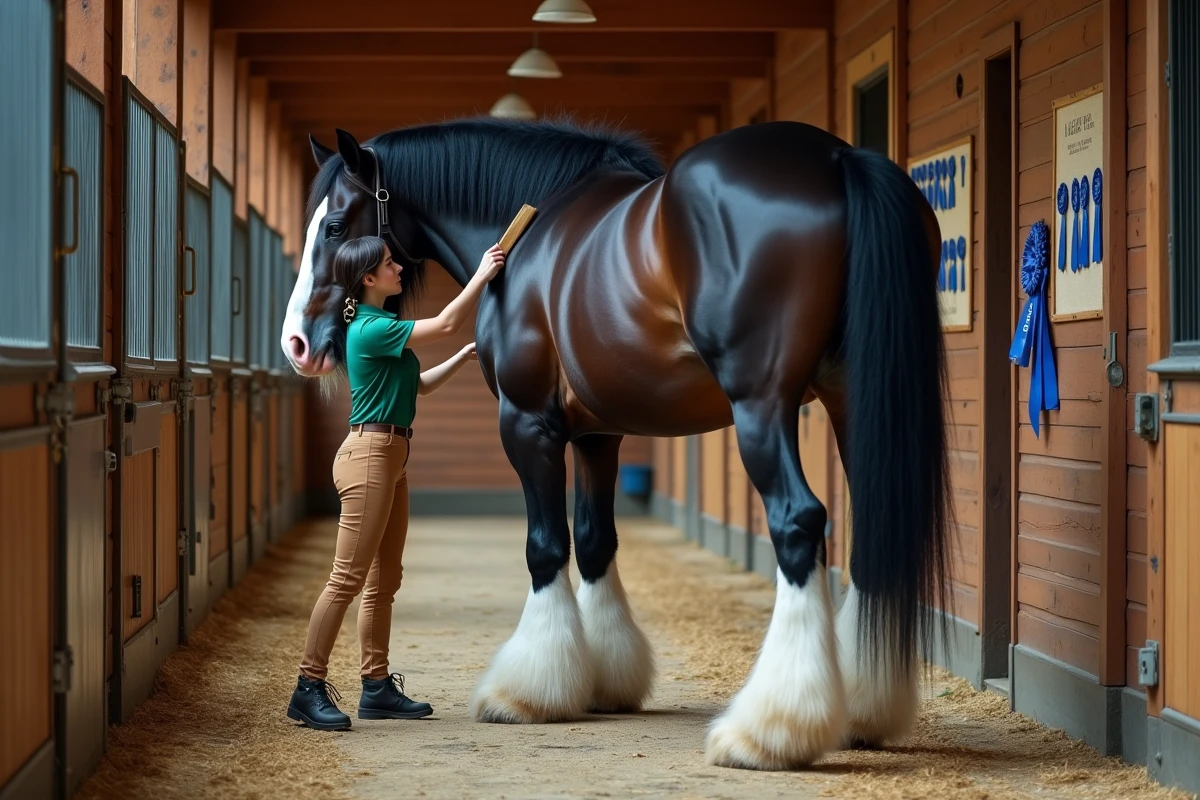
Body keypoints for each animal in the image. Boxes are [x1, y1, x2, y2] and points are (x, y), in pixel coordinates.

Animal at [281, 116, 953, 771]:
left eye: (335, 226)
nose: (297, 344)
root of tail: (839, 160)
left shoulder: (528, 422)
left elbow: (546, 546)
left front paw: (525, 691)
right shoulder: (598, 433)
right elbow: (595, 540)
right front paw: (604, 679)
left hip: (762, 403)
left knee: (798, 521)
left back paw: (768, 730)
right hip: (851, 395)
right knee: (869, 524)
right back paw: (863, 711)